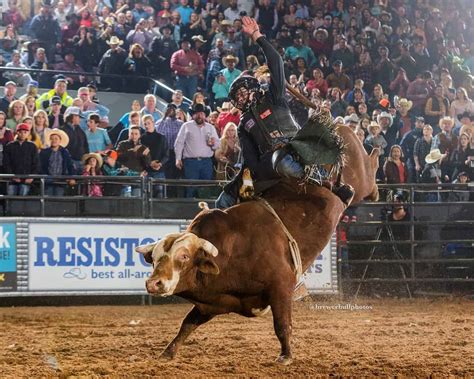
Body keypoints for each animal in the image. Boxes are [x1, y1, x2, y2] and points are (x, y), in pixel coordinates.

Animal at [136, 123, 378, 364]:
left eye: (184, 256)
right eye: (154, 259)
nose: (154, 283)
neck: (230, 252)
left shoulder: (281, 286)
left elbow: (282, 325)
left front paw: (285, 356)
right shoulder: (211, 305)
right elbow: (187, 324)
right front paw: (168, 352)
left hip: (358, 173)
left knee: (367, 173)